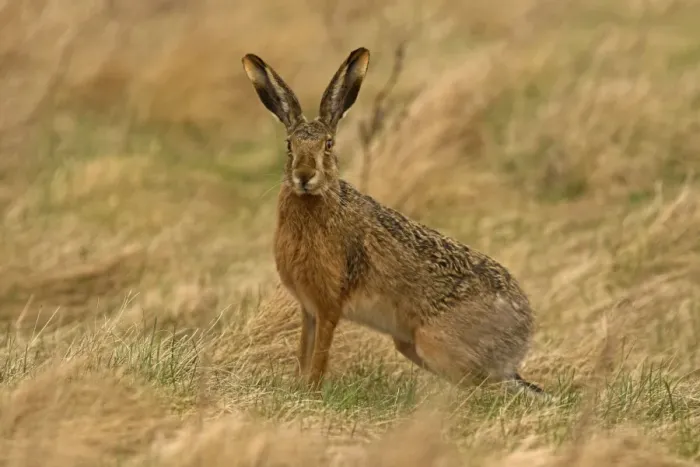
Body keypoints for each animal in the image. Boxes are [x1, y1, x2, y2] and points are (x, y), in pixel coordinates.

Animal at [241, 47, 545, 396]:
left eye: (328, 145)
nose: (304, 176)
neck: (316, 200)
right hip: (411, 345)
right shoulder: (309, 309)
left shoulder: (329, 304)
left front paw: (312, 390)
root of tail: (520, 339)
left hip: (436, 344)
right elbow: (304, 350)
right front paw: (299, 386)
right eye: (289, 145)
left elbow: (320, 354)